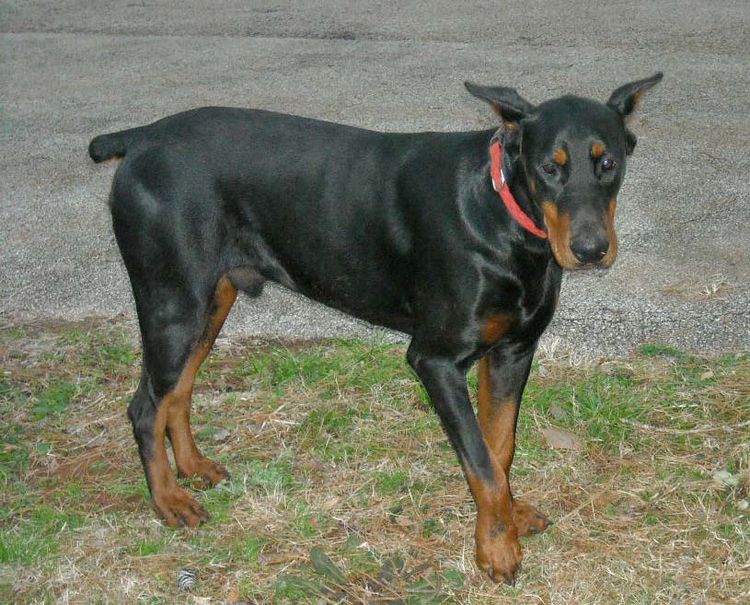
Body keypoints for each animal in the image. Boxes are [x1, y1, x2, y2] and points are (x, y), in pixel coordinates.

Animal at [89, 72, 664, 584]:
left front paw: (509, 518)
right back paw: (169, 499)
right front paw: (496, 549)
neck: (502, 216)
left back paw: (192, 468)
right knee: (145, 406)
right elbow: (481, 463)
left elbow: (499, 447)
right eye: (549, 167)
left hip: (211, 300)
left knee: (178, 391)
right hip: (173, 302)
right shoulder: (435, 359)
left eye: (609, 162)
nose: (591, 250)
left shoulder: (513, 351)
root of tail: (140, 138)